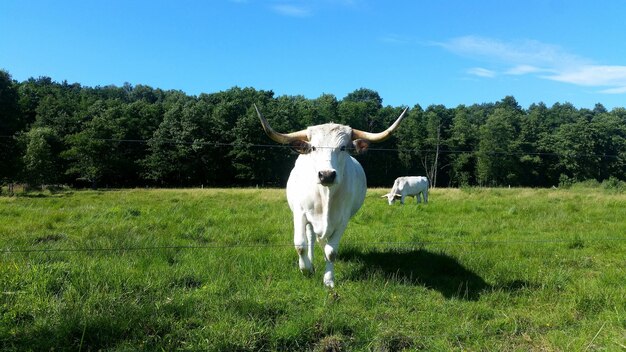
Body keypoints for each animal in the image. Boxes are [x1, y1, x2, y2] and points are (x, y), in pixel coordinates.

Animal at [254, 104, 404, 286]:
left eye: (343, 147)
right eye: (313, 147)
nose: (326, 175)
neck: (326, 195)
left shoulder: (342, 220)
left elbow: (331, 252)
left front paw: (328, 280)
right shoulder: (300, 213)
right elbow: (300, 245)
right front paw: (306, 269)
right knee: (311, 238)